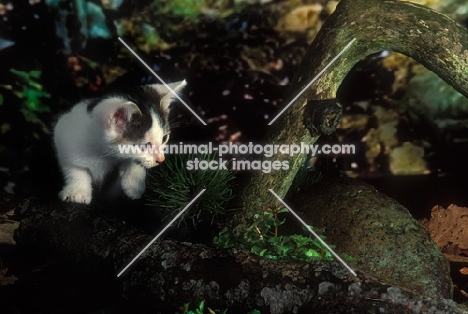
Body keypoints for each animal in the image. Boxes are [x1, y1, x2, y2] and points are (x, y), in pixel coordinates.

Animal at [54, 79, 186, 205]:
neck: (103, 153)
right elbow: (74, 167)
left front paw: (133, 184)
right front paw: (77, 191)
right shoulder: (64, 134)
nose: (161, 159)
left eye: (164, 138)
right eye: (144, 145)